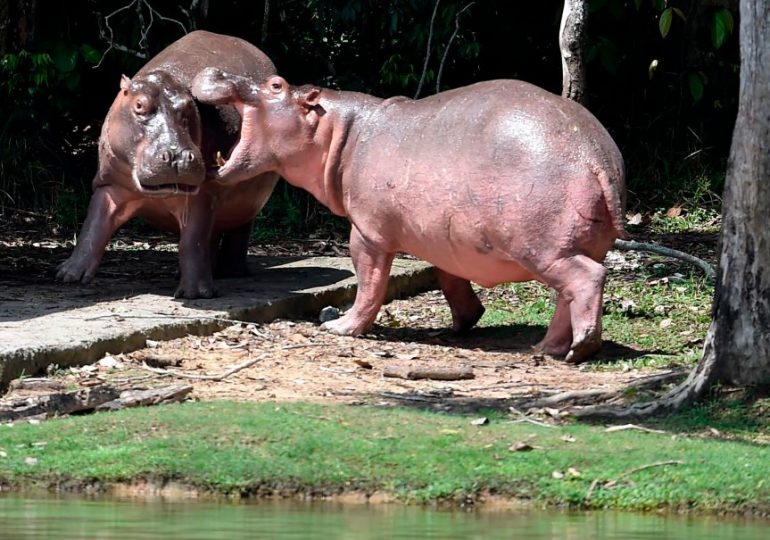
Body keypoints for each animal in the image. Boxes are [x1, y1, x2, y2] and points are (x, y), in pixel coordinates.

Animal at [190, 68, 624, 362]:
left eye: (276, 85)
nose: (216, 71)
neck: (336, 131)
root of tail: (595, 155)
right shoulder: (445, 238)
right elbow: (450, 280)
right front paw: (463, 323)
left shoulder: (366, 233)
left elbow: (369, 284)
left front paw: (341, 327)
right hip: (570, 245)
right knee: (568, 294)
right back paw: (546, 347)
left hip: (542, 248)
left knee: (587, 280)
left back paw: (575, 350)